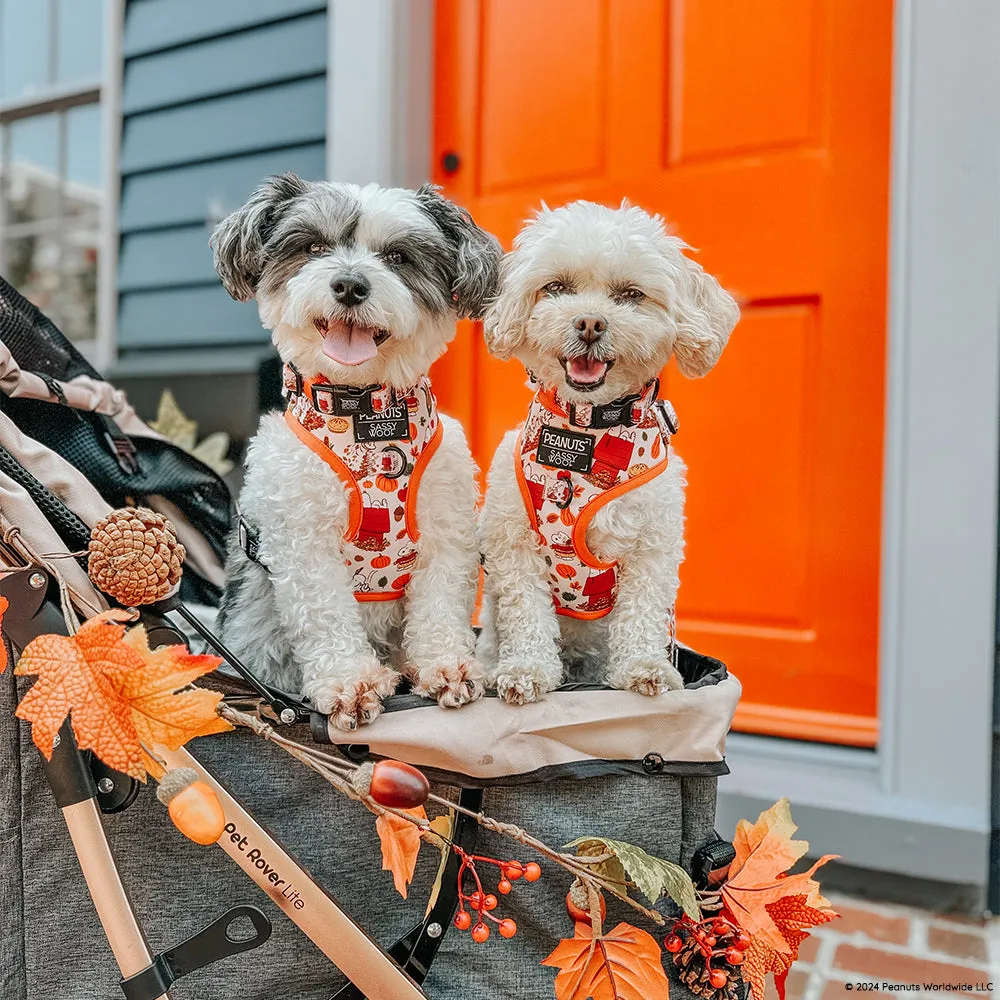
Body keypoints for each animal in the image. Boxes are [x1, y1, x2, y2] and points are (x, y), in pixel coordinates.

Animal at [476, 201, 744, 704]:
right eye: (556, 287)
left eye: (631, 295)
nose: (590, 322)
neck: (587, 433)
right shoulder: (515, 546)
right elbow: (527, 617)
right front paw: (525, 671)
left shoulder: (652, 548)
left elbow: (641, 614)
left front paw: (643, 668)